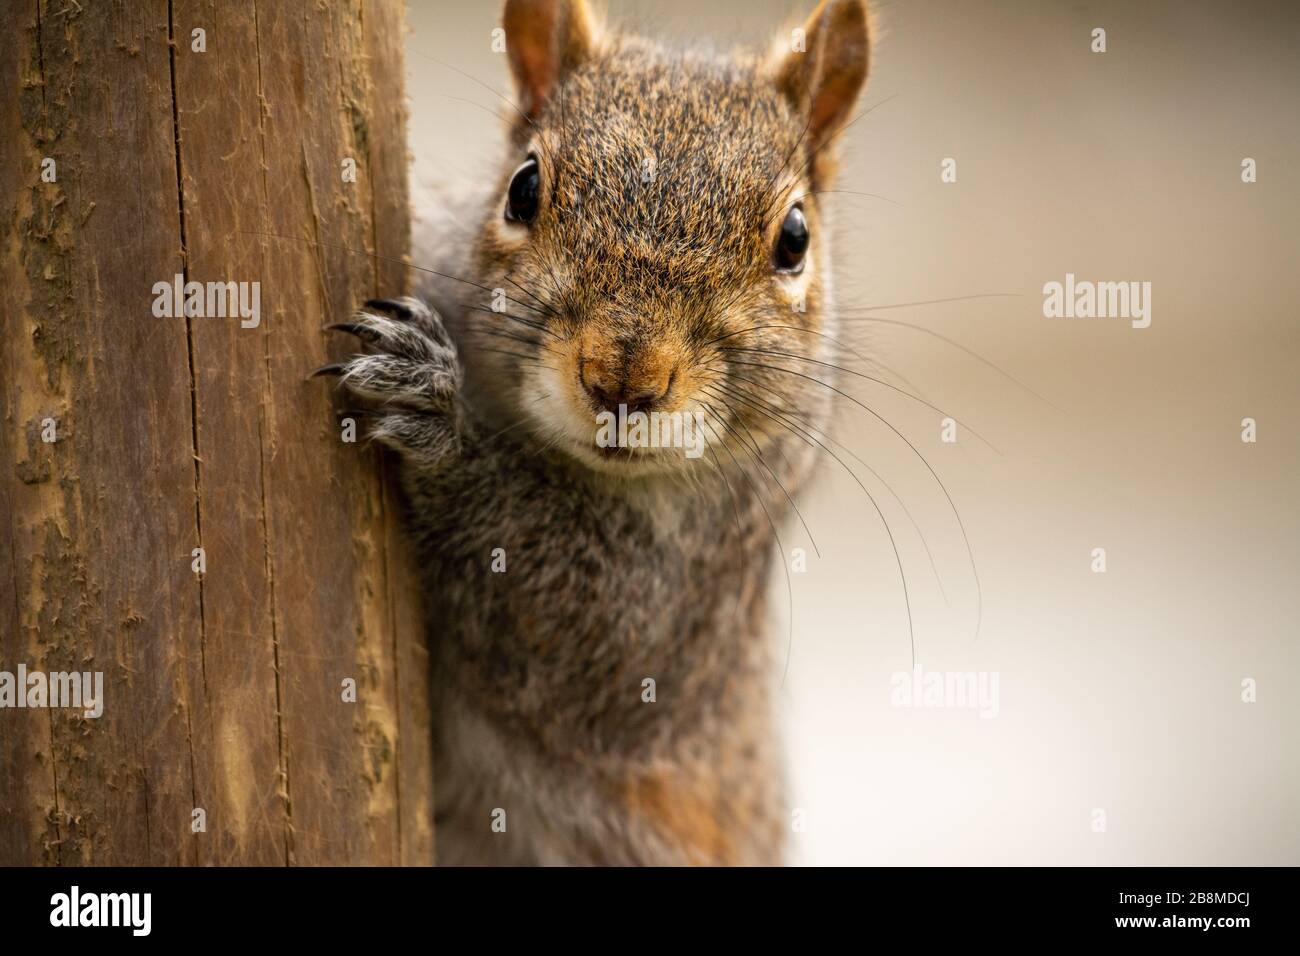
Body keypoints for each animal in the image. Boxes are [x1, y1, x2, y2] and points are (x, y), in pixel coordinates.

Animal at [314, 0, 873, 868]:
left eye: (795, 239)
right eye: (523, 188)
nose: (622, 379)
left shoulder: (679, 614)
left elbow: (576, 627)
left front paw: (440, 417)